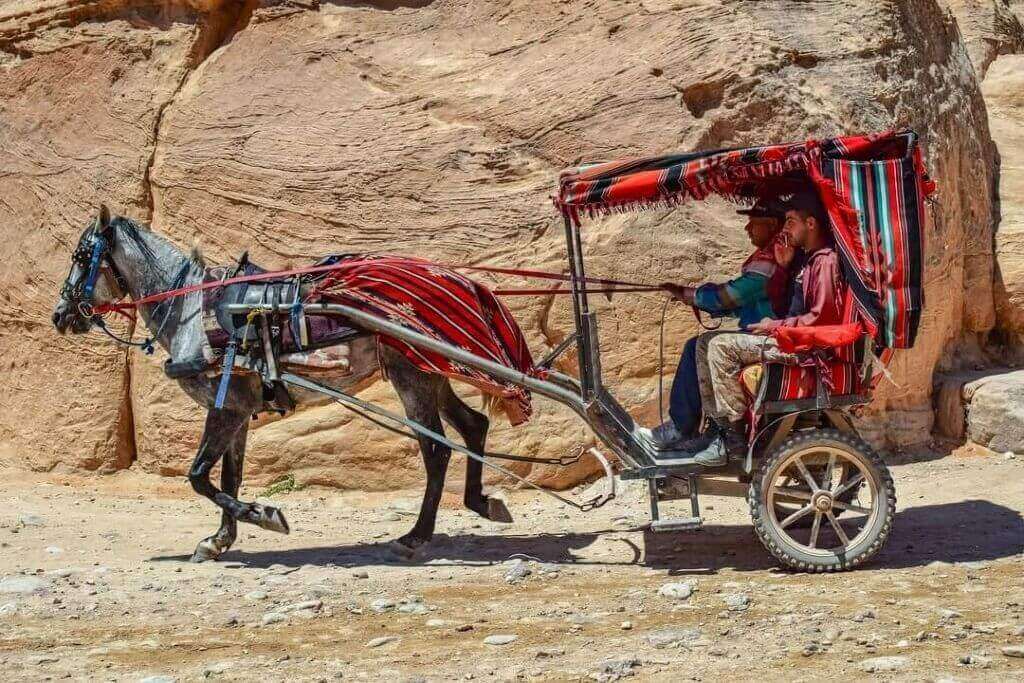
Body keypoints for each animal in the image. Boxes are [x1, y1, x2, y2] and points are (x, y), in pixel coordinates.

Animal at [49, 205, 512, 565]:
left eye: (81, 256)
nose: (60, 315)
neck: (193, 311)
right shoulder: (237, 409)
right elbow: (229, 476)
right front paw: (219, 540)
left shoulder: (227, 407)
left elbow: (199, 476)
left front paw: (264, 515)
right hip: (431, 376)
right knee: (473, 426)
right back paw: (481, 502)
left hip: (412, 379)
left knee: (437, 452)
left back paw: (415, 536)